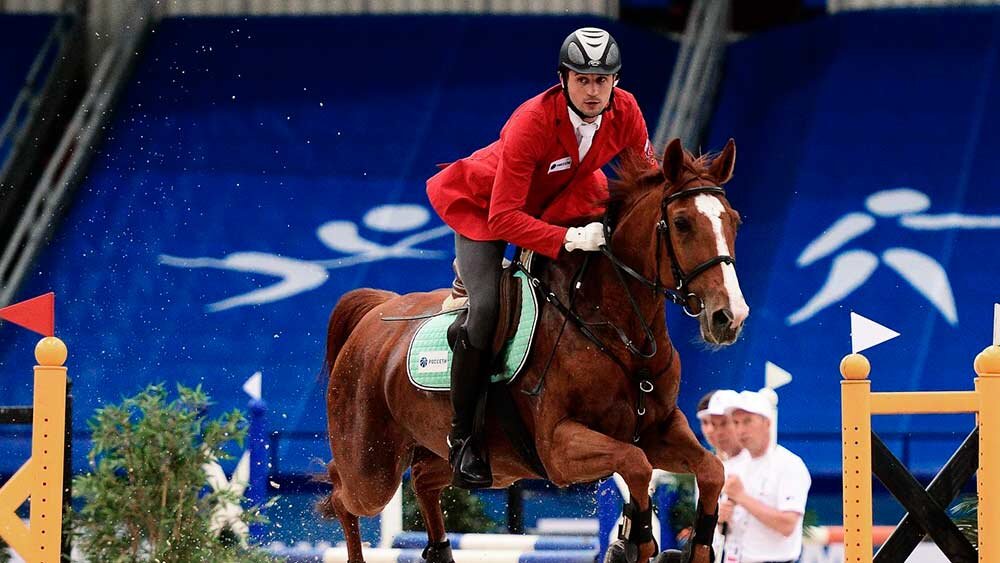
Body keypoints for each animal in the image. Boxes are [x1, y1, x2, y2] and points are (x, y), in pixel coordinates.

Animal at [316, 138, 748, 563]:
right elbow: (636, 465)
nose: (729, 317)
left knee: (423, 479)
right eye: (682, 223)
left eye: (734, 221)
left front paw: (698, 546)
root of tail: (377, 312)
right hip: (372, 469)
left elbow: (712, 470)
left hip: (473, 457)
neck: (615, 329)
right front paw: (633, 542)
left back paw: (441, 551)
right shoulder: (559, 446)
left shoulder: (659, 429)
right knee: (342, 494)